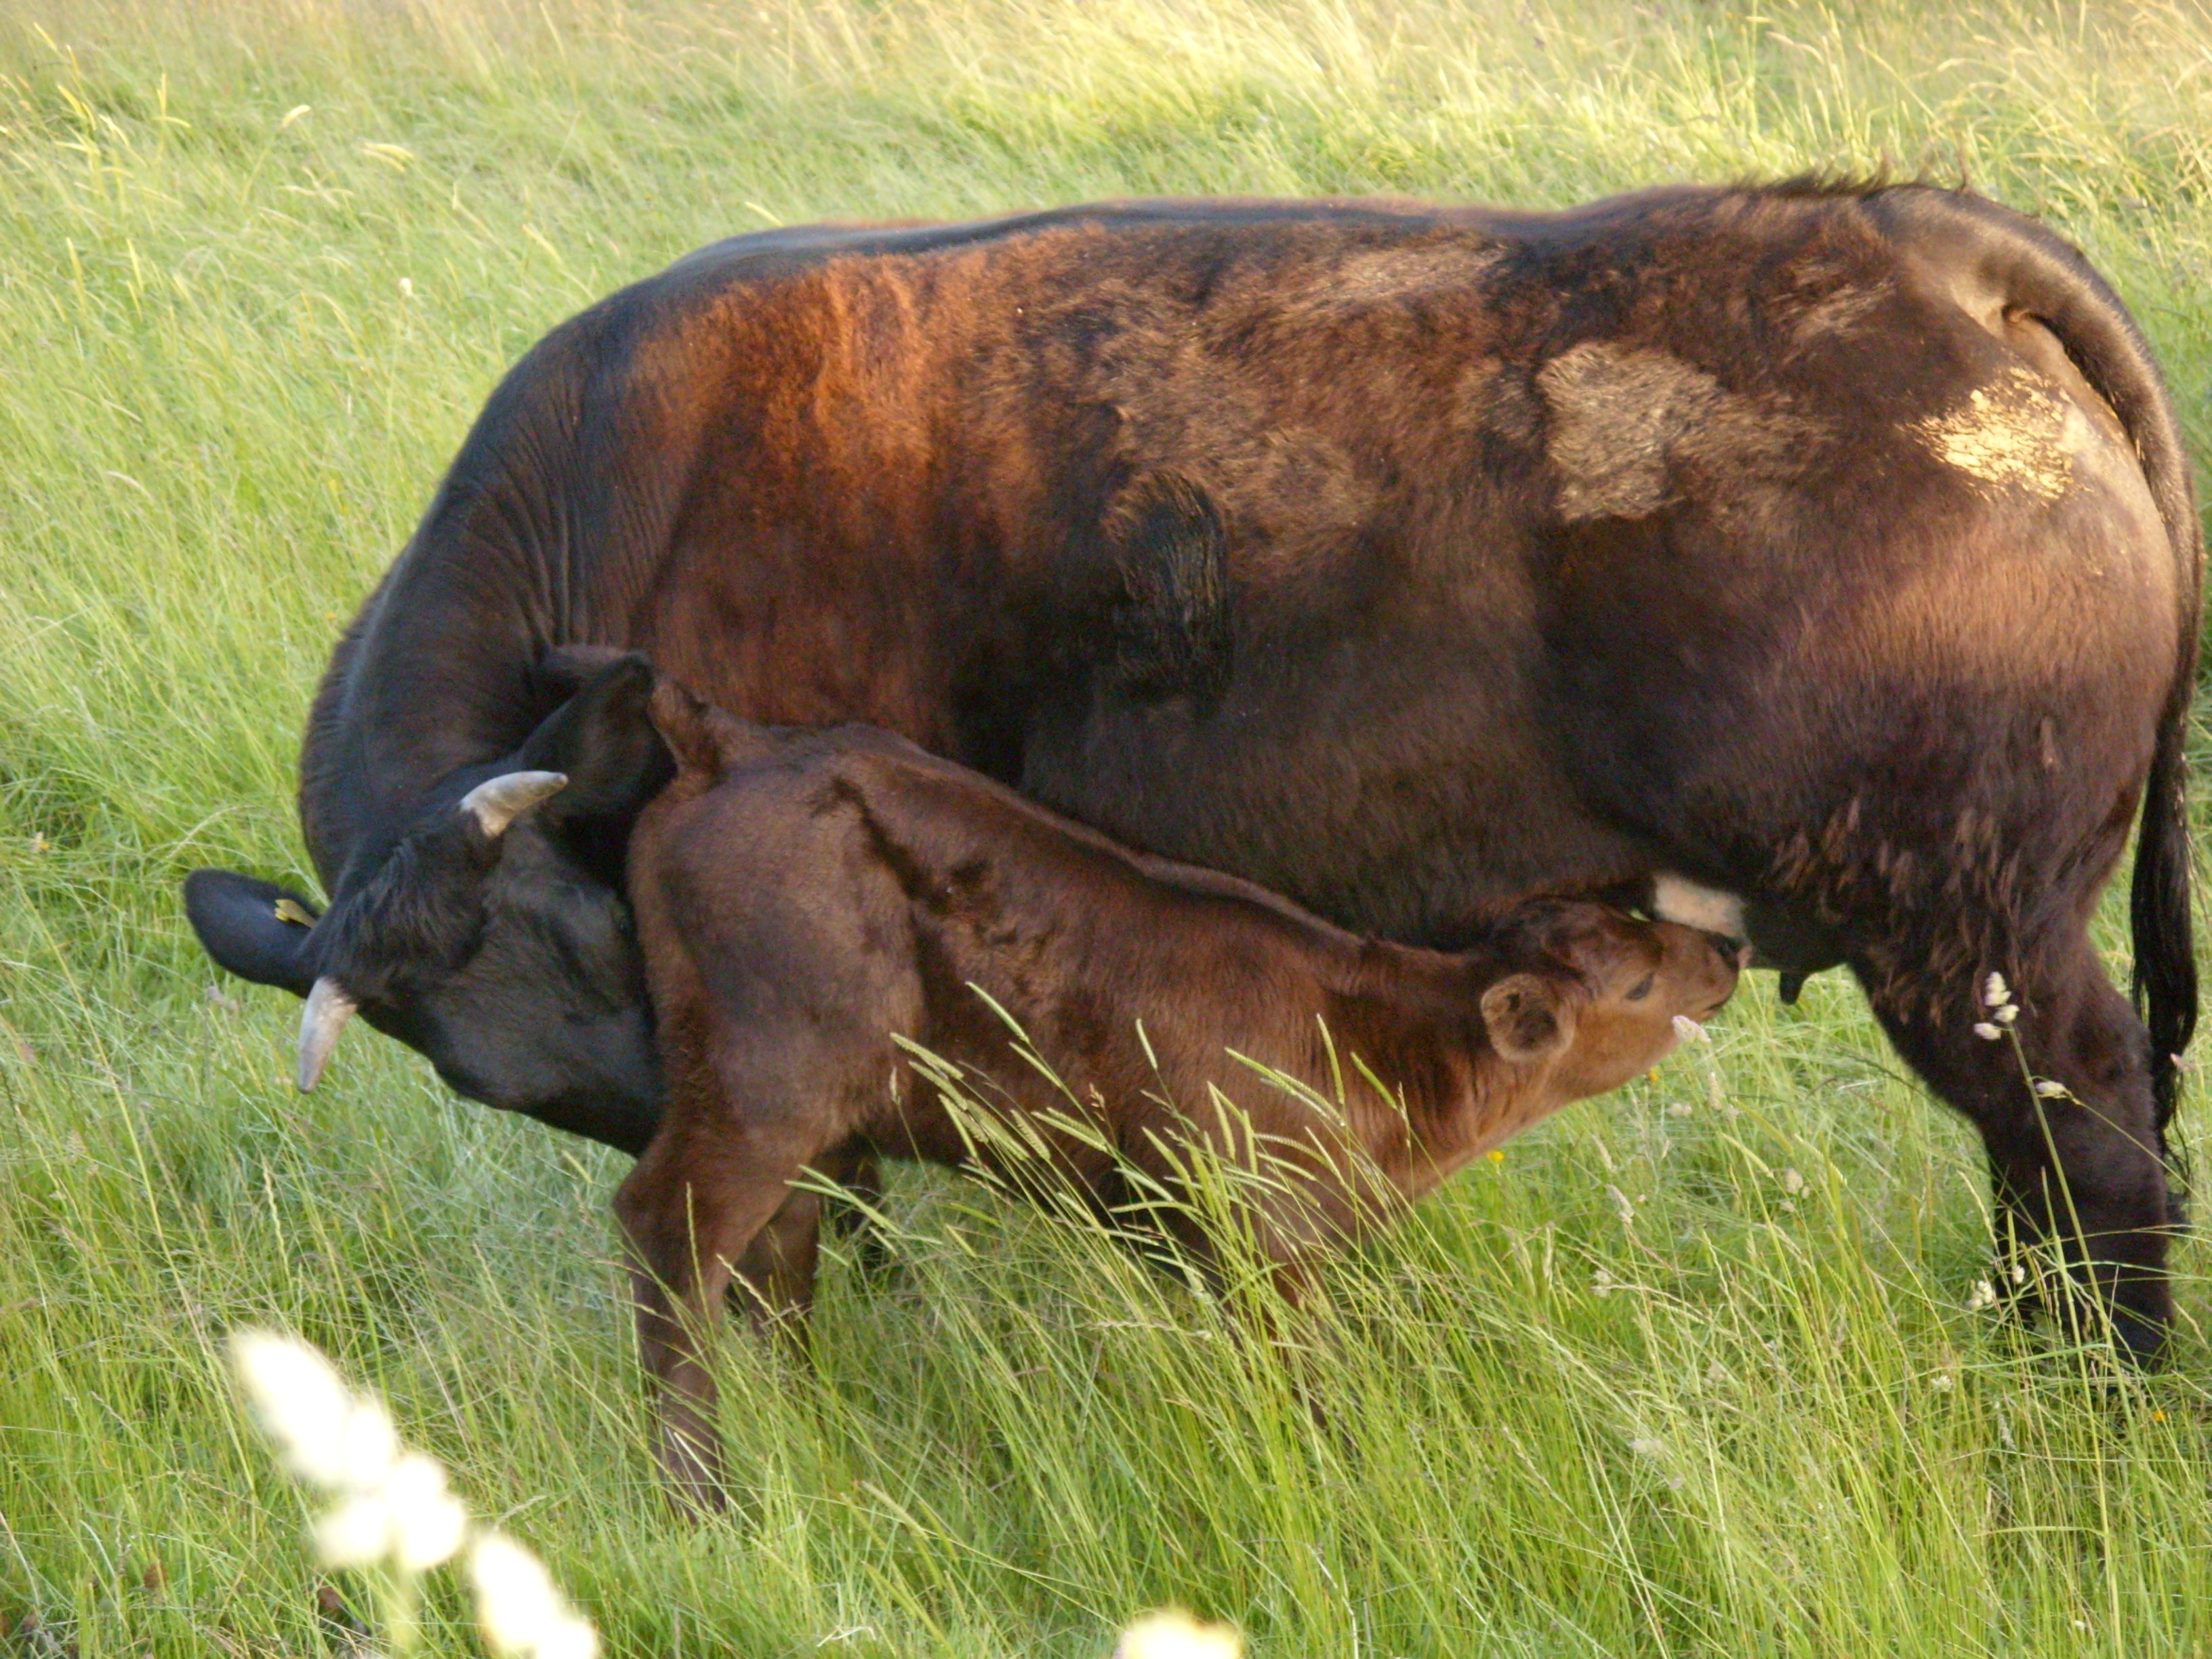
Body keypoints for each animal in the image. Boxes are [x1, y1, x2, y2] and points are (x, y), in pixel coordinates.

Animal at [182, 180, 2198, 1359]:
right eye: (490, 1069)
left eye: (600, 935)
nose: (669, 1102)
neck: (616, 485)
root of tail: (1917, 235)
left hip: (1976, 927)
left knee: (2089, 1139)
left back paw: (2087, 1396)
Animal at [619, 669, 1743, 1501]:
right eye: (1640, 982)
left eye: (1641, 920)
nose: (1729, 952)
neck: (1387, 1043)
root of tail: (738, 741)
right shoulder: (1261, 1245)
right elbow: (1303, 1386)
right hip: (763, 1082)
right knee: (671, 1227)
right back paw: (699, 1492)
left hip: (794, 1111)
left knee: (777, 1255)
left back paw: (804, 1420)